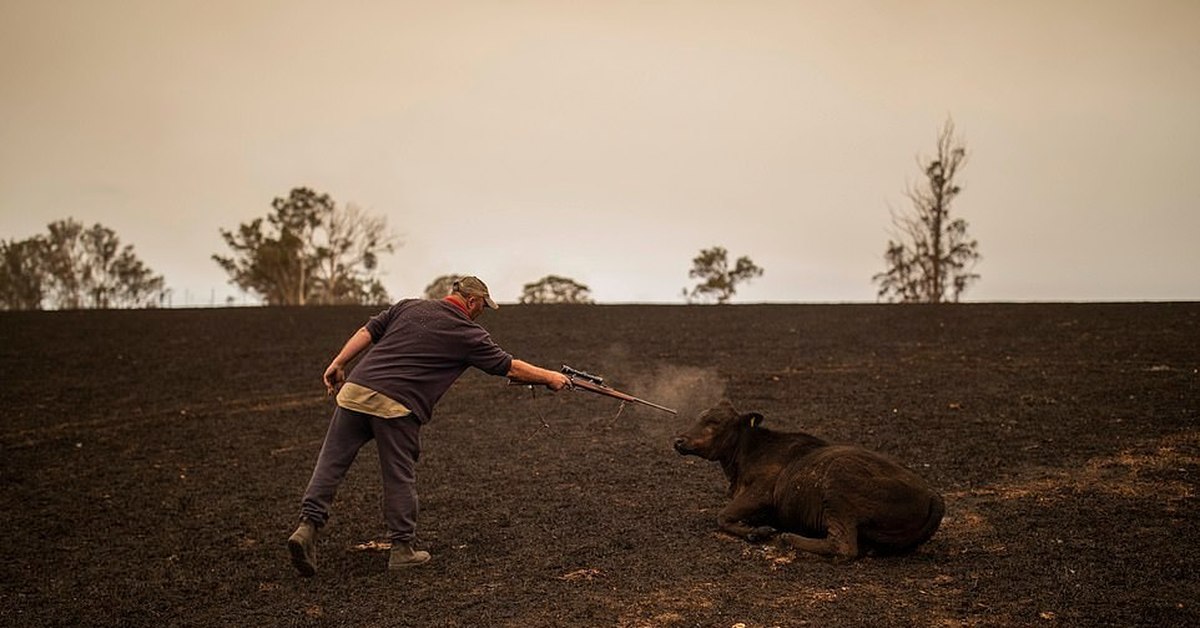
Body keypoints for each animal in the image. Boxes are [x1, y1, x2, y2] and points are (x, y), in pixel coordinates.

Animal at [672, 401, 940, 561]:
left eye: (714, 422)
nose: (679, 440)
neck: (747, 453)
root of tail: (932, 494)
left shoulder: (762, 493)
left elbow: (722, 517)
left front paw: (758, 532)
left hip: (838, 484)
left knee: (843, 546)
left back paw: (789, 538)